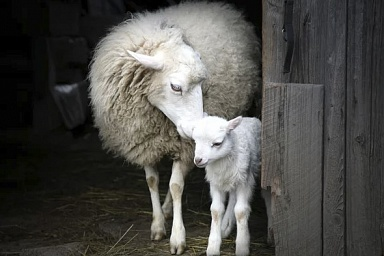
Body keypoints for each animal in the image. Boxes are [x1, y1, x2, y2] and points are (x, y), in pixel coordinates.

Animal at [182, 116, 272, 256]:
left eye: (217, 143)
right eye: (195, 141)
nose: (198, 160)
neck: (222, 162)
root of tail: (250, 118)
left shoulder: (244, 180)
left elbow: (240, 211)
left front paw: (242, 246)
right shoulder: (215, 183)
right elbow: (216, 210)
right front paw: (213, 247)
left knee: (266, 194)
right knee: (233, 198)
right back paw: (226, 226)